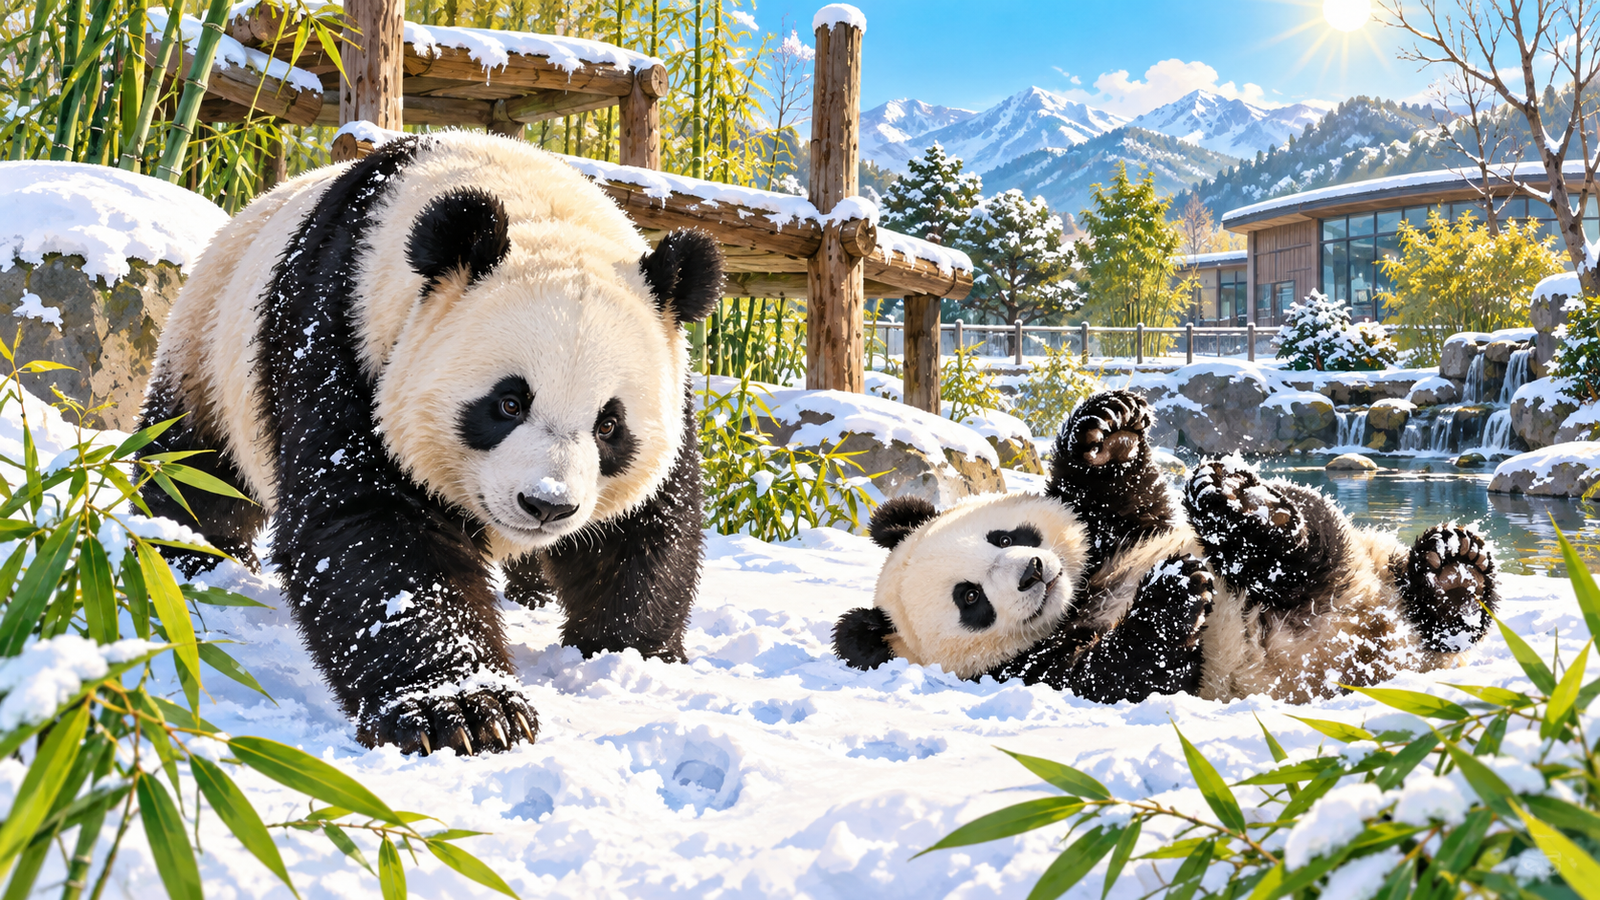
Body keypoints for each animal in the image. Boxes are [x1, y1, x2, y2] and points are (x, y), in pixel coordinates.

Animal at [136, 132, 723, 756]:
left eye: (609, 425)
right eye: (508, 403)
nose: (546, 505)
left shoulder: (672, 383)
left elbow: (648, 526)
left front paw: (629, 652)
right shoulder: (338, 335)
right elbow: (373, 530)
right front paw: (466, 709)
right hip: (207, 351)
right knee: (193, 467)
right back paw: (189, 556)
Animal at [834, 391, 1500, 704]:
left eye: (1006, 535)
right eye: (969, 598)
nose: (1031, 572)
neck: (1083, 595)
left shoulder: (1119, 534)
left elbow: (1121, 497)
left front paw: (1106, 429)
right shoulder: (1019, 671)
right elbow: (1119, 676)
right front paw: (1176, 592)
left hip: (1368, 562)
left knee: (1318, 531)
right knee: (1312, 561)